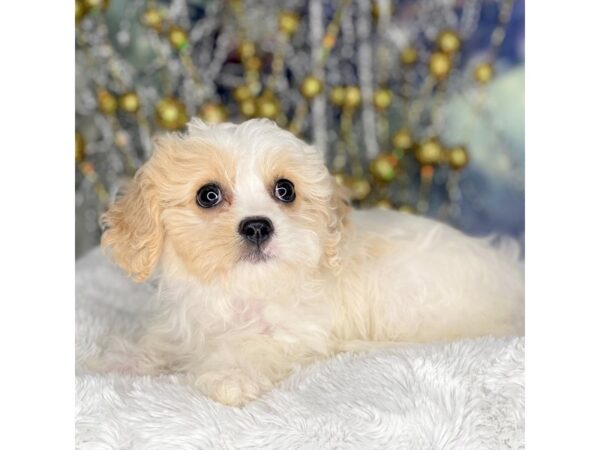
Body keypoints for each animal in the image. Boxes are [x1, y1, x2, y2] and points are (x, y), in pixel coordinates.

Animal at [98, 118, 520, 406]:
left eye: (285, 190)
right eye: (208, 195)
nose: (257, 226)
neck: (239, 290)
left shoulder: (301, 333)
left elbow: (255, 346)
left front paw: (228, 375)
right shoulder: (184, 321)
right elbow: (165, 341)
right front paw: (124, 358)